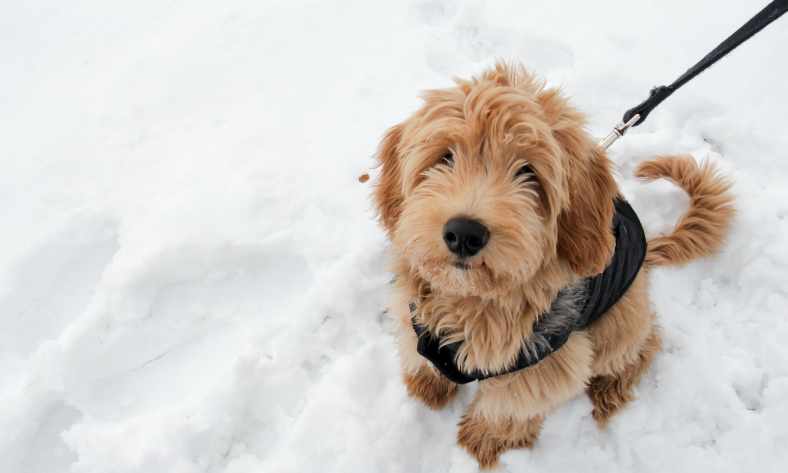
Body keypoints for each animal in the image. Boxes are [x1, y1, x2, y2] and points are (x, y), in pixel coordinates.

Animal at [372, 63, 736, 468]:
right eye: (445, 157)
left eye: (528, 172)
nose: (464, 233)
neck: (474, 302)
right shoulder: (416, 321)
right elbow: (421, 356)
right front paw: (427, 385)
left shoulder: (547, 362)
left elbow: (509, 406)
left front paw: (484, 440)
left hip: (618, 321)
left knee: (645, 343)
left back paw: (611, 389)